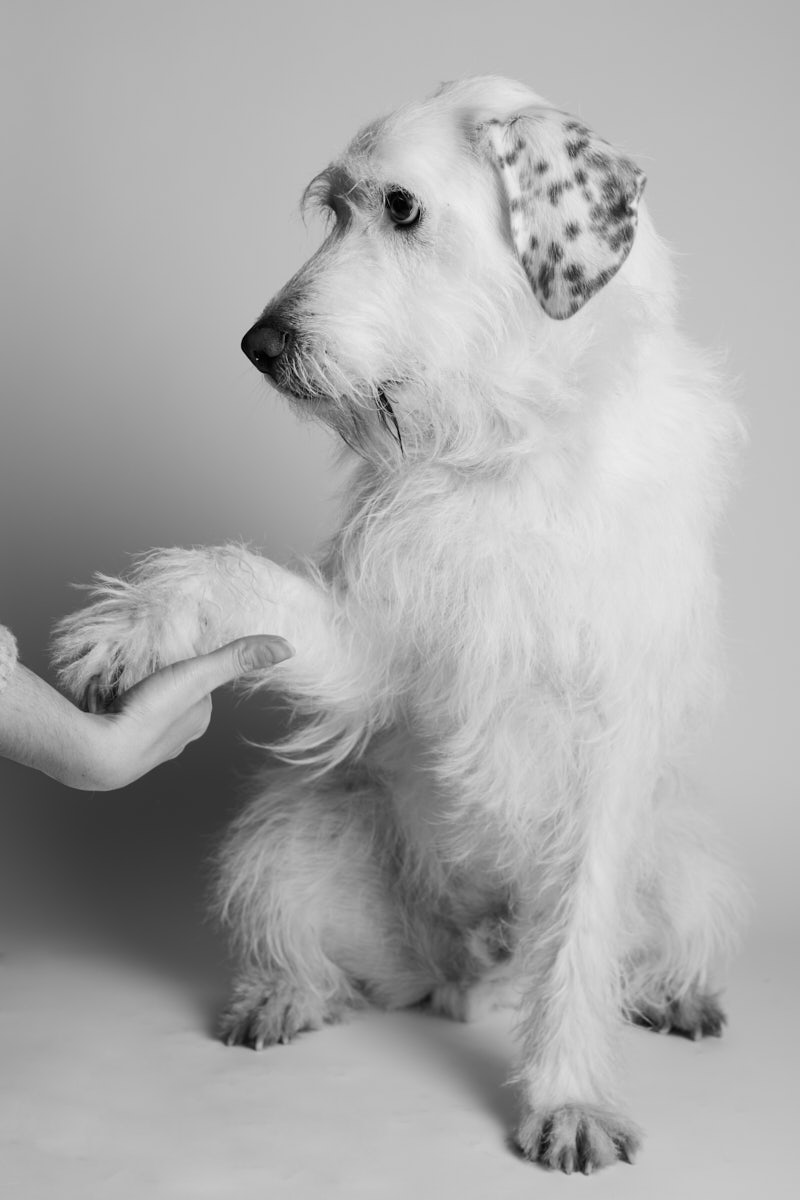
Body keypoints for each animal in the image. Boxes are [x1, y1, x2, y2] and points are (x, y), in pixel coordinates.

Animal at [54, 76, 745, 1173]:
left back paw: (671, 993)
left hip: (685, 864)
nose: (258, 346)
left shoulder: (608, 741)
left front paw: (569, 1095)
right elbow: (243, 581)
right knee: (318, 955)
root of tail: (472, 965)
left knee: (632, 946)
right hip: (286, 844)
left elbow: (580, 940)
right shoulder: (373, 649)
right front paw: (140, 624)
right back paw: (283, 995)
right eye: (334, 209)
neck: (507, 446)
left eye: (402, 208)